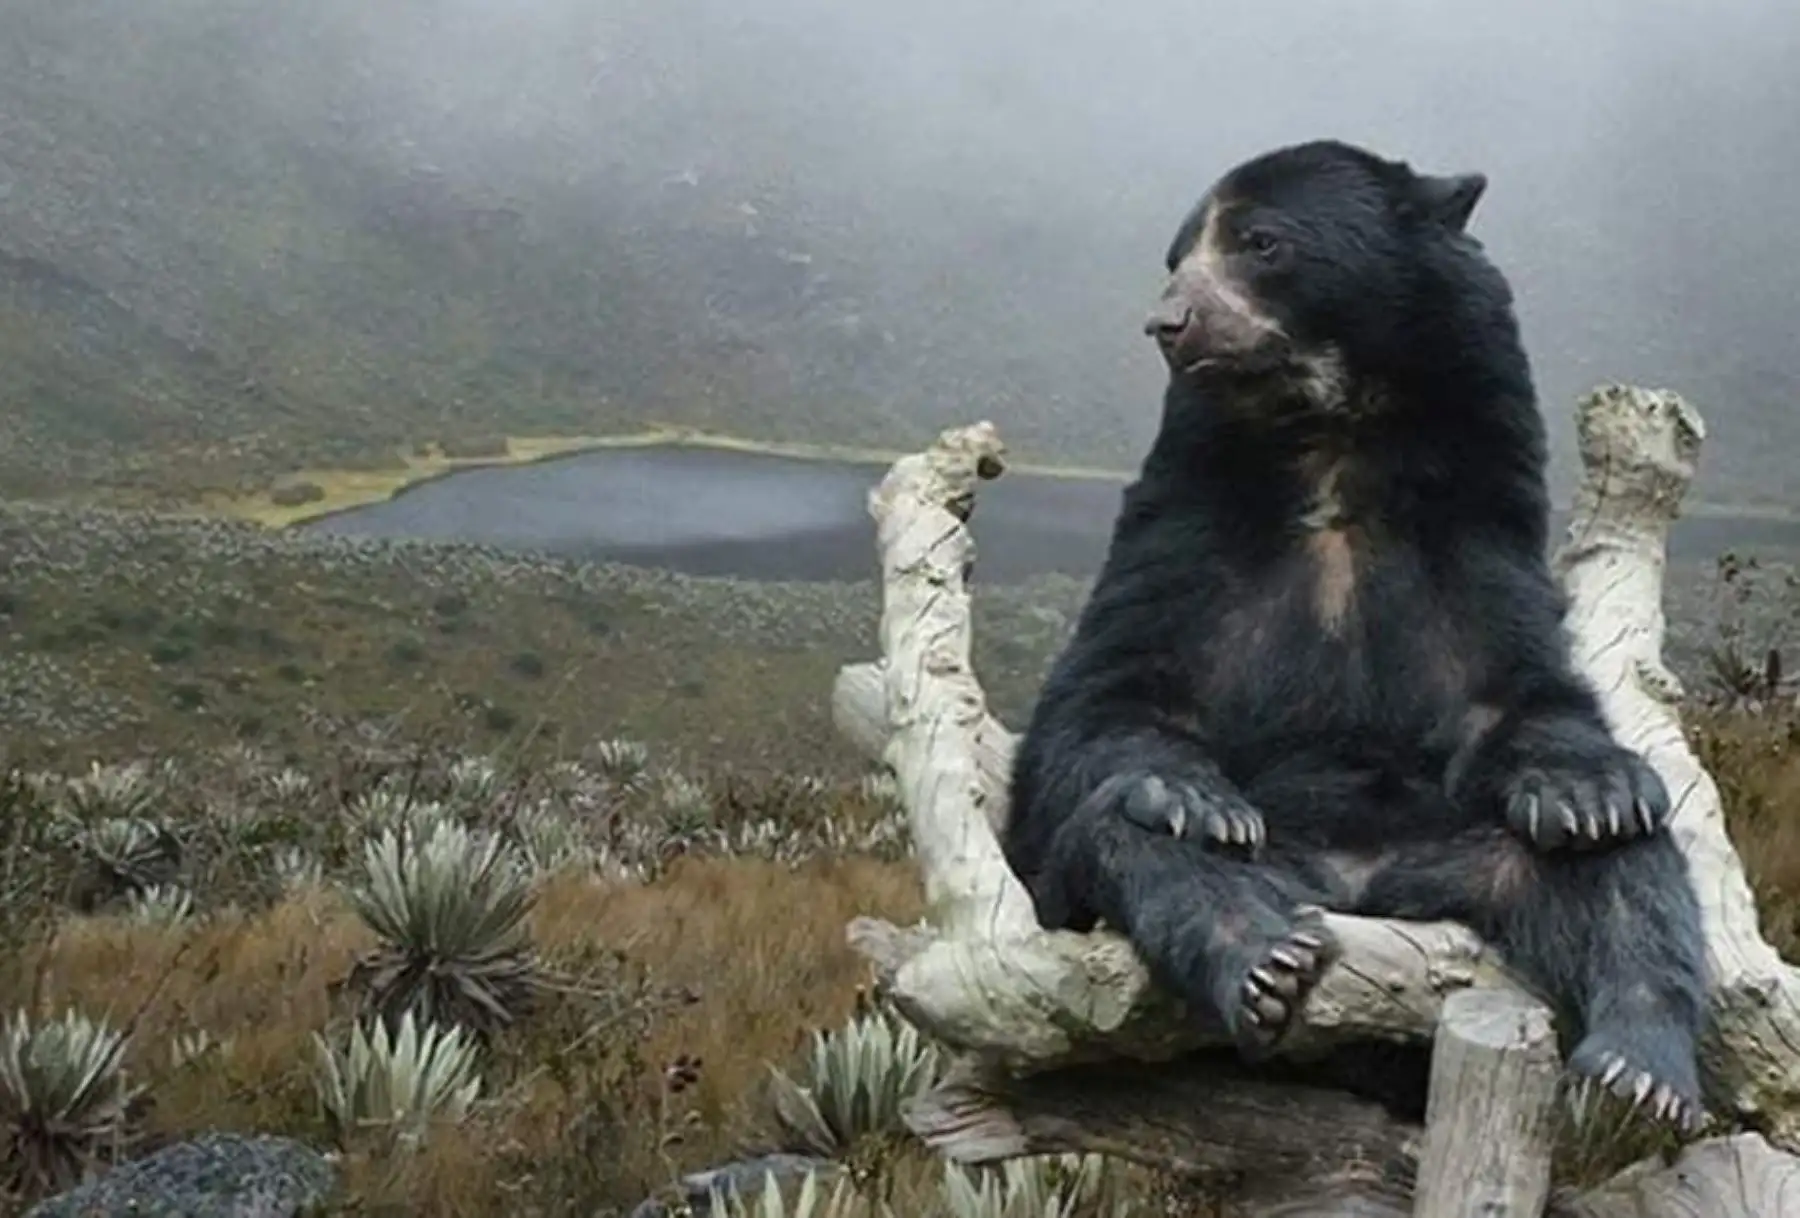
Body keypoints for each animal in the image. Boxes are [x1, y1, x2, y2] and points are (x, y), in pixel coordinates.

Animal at [1000, 139, 1710, 1131]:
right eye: (1177, 255)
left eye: (1261, 242)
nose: (1169, 322)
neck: (1330, 437)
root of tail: (1356, 885)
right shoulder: (1187, 518)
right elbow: (1109, 698)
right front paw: (1195, 797)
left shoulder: (1473, 520)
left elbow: (1518, 693)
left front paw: (1587, 793)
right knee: (1137, 839)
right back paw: (1264, 957)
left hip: (1462, 853)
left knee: (1622, 877)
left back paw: (1638, 1073)